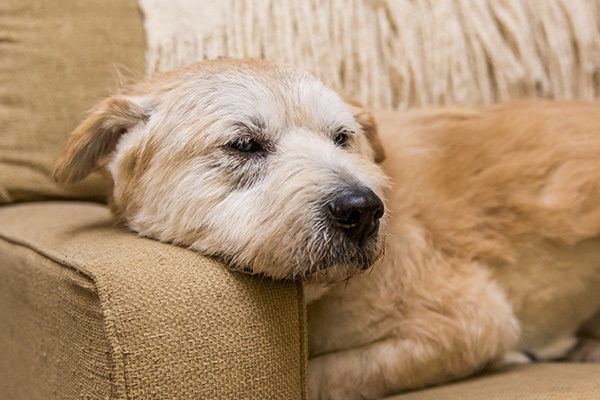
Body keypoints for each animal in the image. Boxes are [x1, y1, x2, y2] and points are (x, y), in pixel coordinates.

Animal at [52, 57, 600, 398]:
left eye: (342, 138)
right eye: (244, 144)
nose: (363, 210)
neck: (316, 297)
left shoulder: (471, 322)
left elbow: (321, 378)